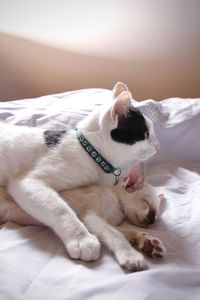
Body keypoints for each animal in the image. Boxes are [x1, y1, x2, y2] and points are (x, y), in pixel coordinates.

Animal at [0, 82, 163, 272]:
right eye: (146, 135)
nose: (159, 146)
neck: (92, 155)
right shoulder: (28, 182)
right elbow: (61, 209)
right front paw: (82, 240)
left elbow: (120, 230)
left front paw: (146, 241)